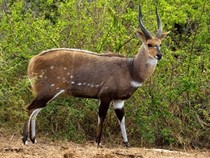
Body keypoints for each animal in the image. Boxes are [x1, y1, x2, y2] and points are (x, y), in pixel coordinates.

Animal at [22, 5, 168, 147]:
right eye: (149, 44)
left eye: (160, 44)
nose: (159, 55)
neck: (131, 70)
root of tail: (32, 61)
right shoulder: (105, 95)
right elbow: (101, 116)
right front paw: (98, 142)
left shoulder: (119, 100)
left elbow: (121, 118)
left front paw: (127, 144)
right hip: (48, 90)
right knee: (30, 108)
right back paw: (25, 139)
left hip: (46, 93)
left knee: (36, 110)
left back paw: (34, 139)